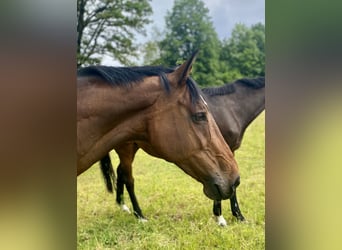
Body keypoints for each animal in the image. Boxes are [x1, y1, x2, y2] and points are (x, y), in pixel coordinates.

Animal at [99, 75, 264, 225]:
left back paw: (122, 205)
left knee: (120, 172)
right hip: (126, 148)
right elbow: (228, 185)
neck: (231, 107)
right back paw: (139, 215)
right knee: (128, 178)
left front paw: (235, 216)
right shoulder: (224, 153)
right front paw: (224, 218)